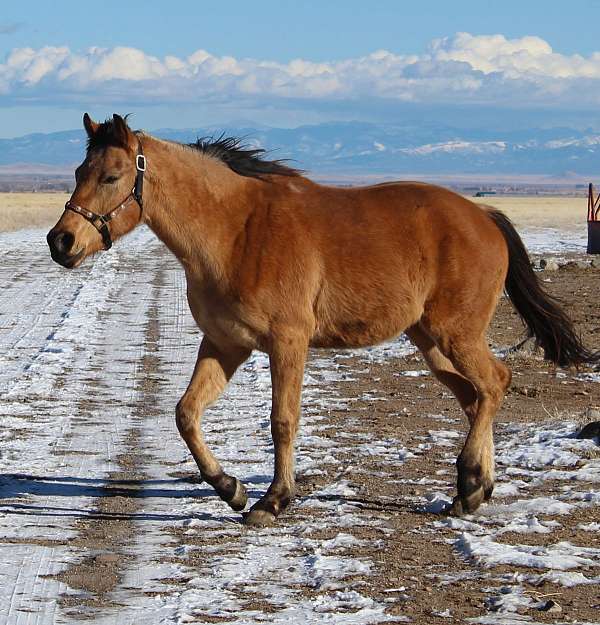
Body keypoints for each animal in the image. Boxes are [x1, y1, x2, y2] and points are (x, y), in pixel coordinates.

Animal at [48, 113, 600, 528]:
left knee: (494, 383)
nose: (61, 241)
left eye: (111, 176)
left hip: (455, 334)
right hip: (430, 341)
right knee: (477, 396)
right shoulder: (225, 344)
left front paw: (273, 500)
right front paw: (231, 489)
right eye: (77, 172)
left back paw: (469, 483)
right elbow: (186, 414)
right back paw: (475, 488)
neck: (235, 231)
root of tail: (485, 218)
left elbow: (283, 421)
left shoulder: (287, 344)